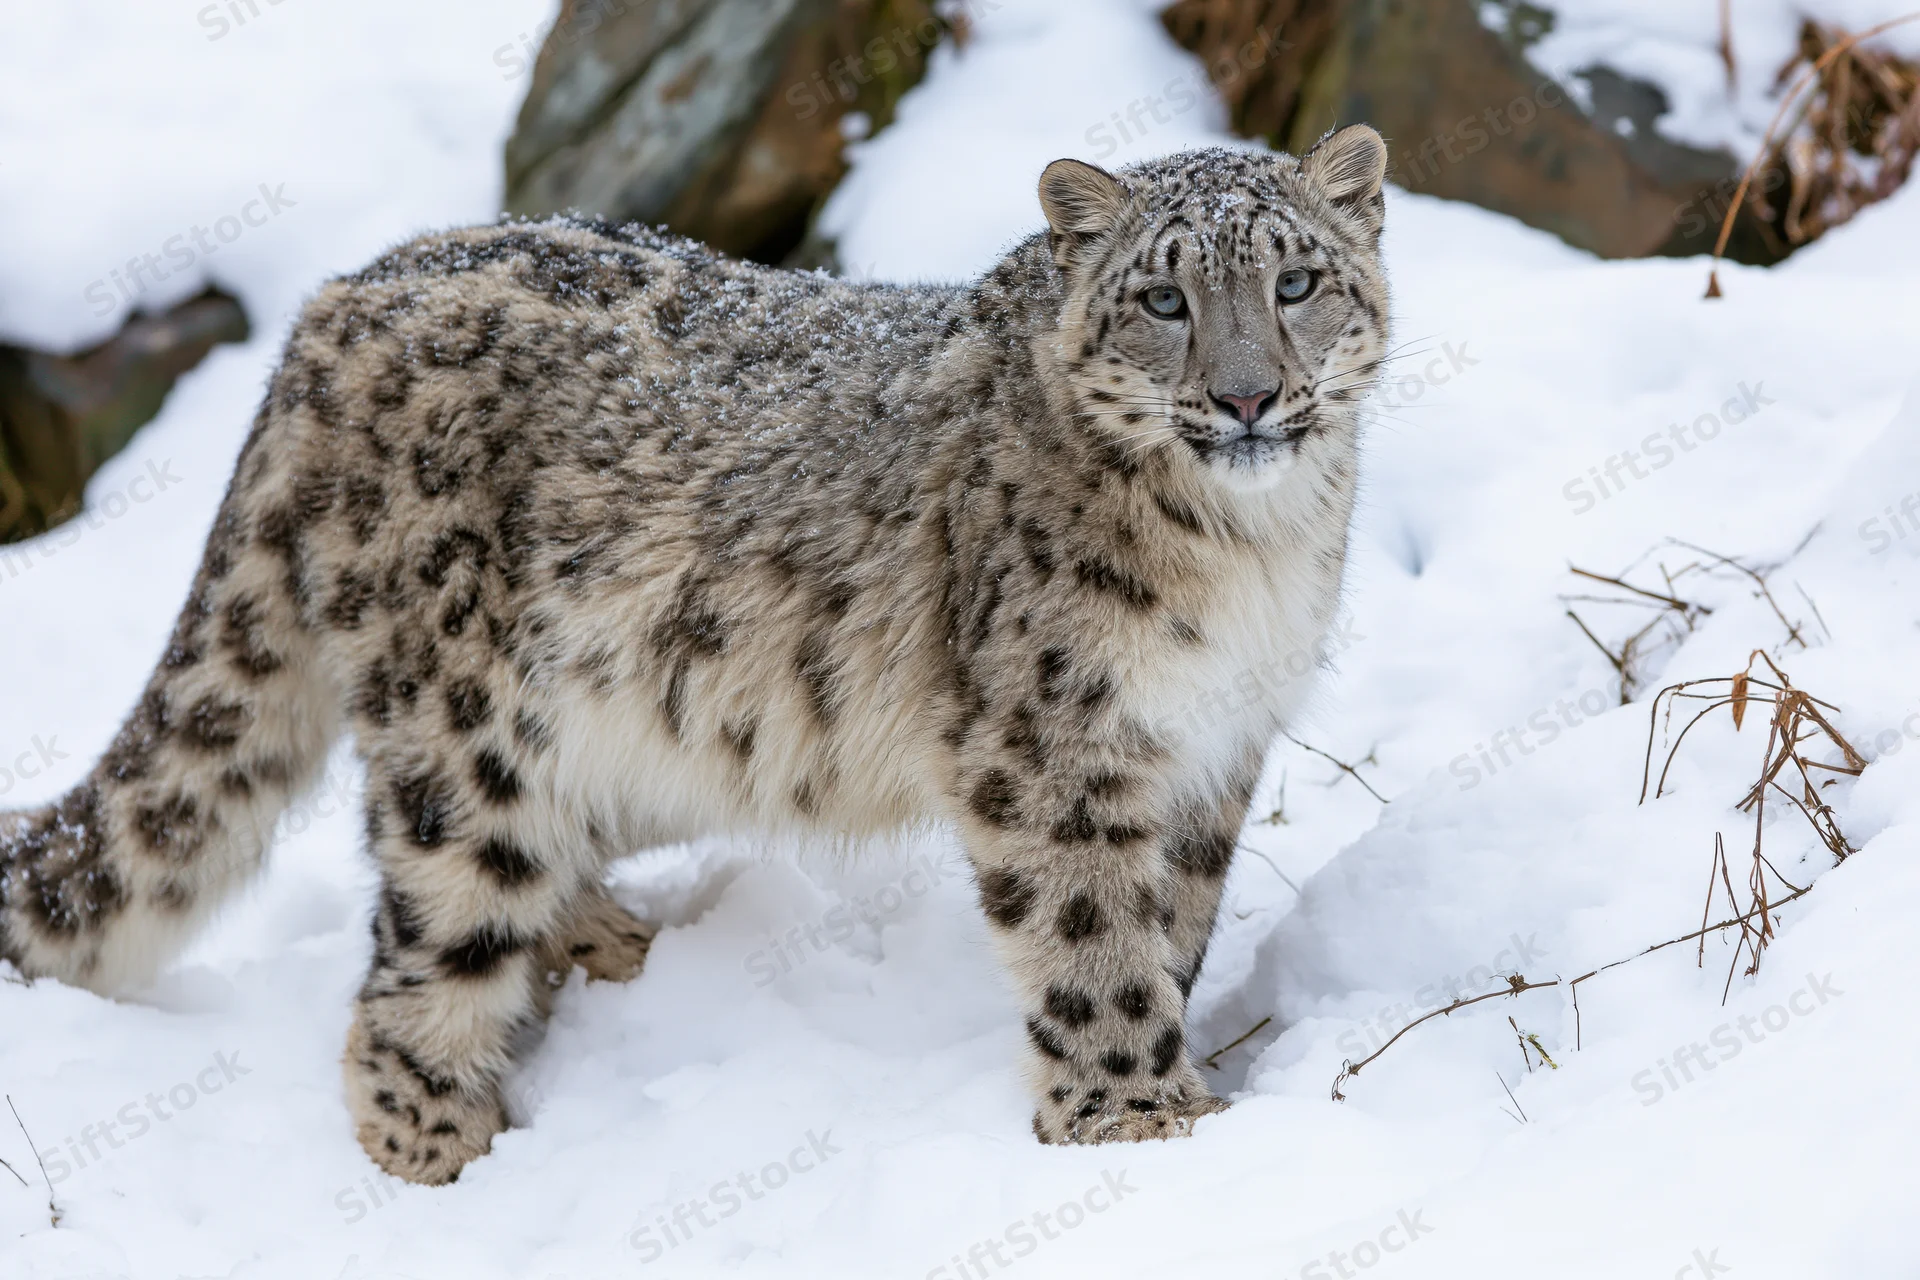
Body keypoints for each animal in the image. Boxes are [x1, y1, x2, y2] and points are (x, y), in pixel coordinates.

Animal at [0, 126, 1391, 1185]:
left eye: (1296, 284)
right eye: (1163, 299)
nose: (1250, 397)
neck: (1251, 556)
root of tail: (336, 302)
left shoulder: (1212, 747)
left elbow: (1173, 923)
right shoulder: (1055, 742)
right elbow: (1094, 937)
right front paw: (1142, 1124)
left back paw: (617, 951)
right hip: (469, 736)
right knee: (419, 958)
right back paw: (446, 1152)